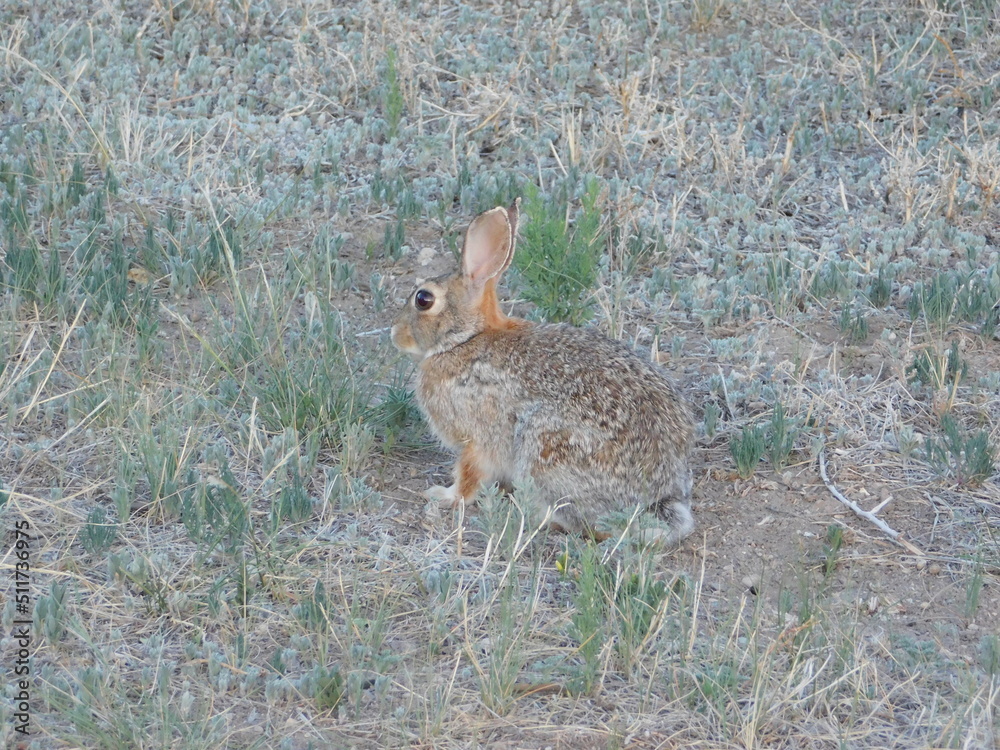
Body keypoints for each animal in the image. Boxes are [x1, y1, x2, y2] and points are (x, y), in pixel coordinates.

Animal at [391, 199, 695, 546]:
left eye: (423, 299)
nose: (395, 334)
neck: (466, 338)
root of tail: (656, 497)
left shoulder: (478, 439)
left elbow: (469, 476)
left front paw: (444, 496)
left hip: (545, 447)